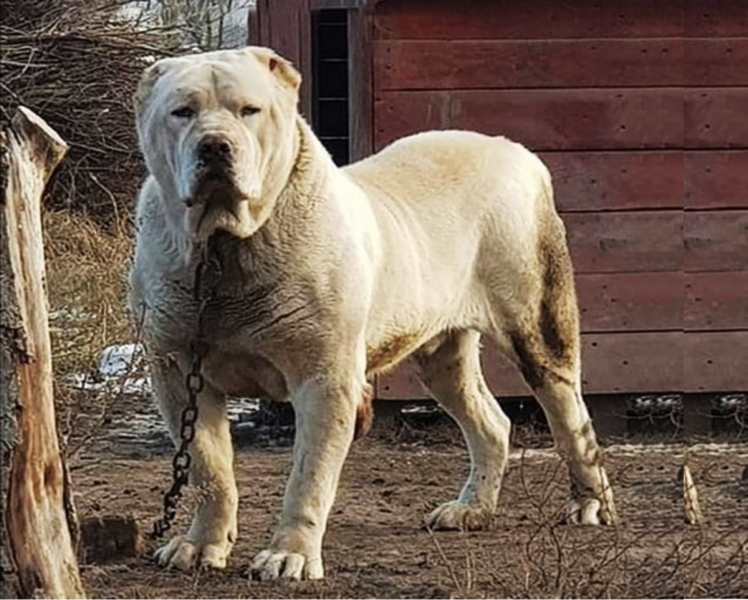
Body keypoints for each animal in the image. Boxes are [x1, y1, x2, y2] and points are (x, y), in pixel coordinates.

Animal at [129, 47, 616, 580]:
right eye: (182, 112)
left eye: (249, 111)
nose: (215, 146)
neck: (223, 249)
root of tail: (517, 152)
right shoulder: (179, 374)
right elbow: (208, 468)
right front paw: (201, 545)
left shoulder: (324, 378)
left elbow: (308, 476)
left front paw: (290, 555)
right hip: (441, 357)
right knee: (490, 421)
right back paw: (471, 509)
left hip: (537, 327)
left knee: (570, 417)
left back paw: (591, 503)